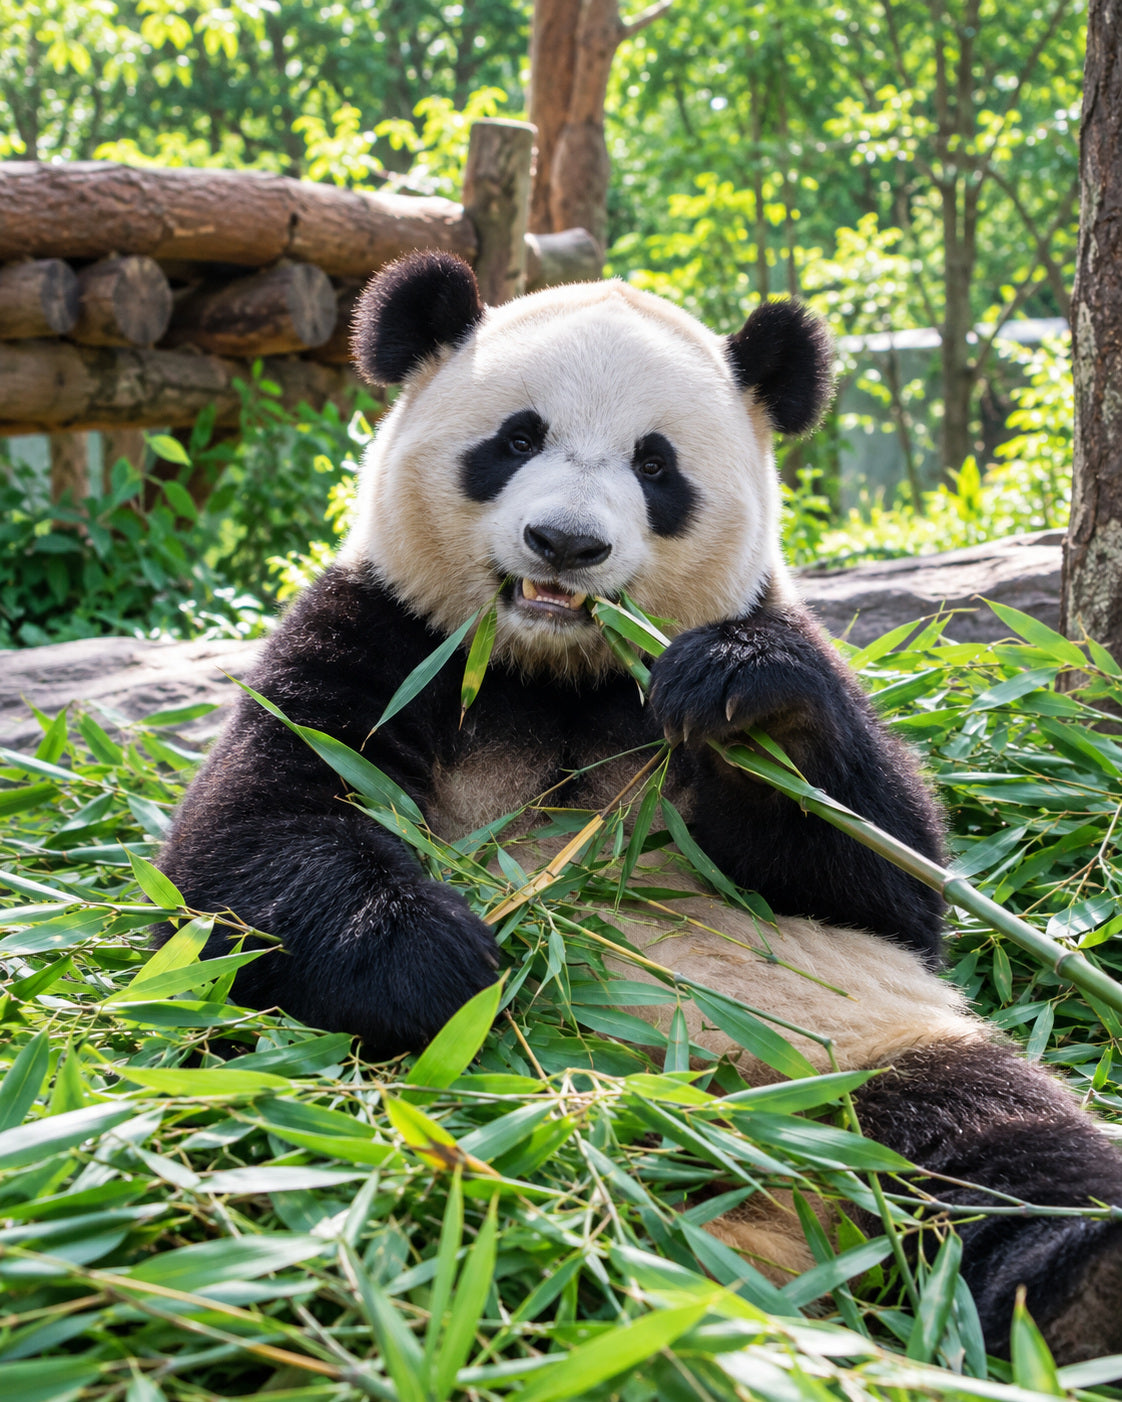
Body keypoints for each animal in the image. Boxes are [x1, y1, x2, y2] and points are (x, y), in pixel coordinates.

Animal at [157, 251, 1122, 1362]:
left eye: (656, 466)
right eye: (516, 438)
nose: (565, 543)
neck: (555, 667)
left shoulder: (745, 649)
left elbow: (890, 883)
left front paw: (751, 692)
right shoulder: (384, 634)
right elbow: (248, 837)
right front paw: (451, 964)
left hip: (860, 1048)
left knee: (1006, 1147)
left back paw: (1087, 1285)